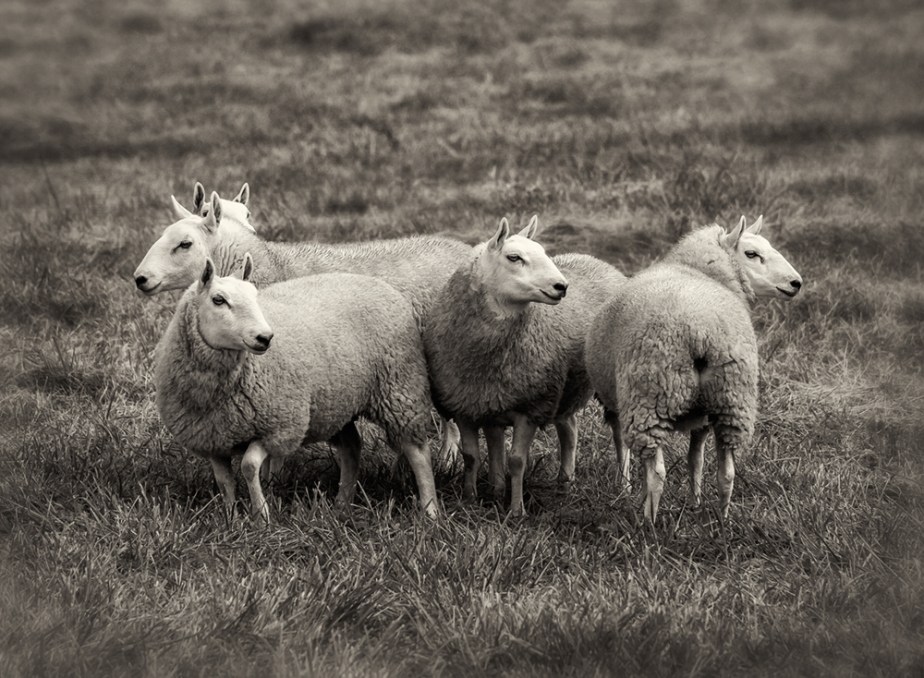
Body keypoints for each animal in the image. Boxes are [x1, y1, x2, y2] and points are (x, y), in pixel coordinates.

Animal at [154, 255, 439, 522]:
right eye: (218, 300)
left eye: (255, 296)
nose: (265, 337)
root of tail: (377, 282)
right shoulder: (212, 439)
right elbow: (225, 482)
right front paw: (231, 518)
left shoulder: (279, 427)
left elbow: (248, 466)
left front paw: (261, 515)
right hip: (335, 404)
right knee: (351, 447)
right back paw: (342, 504)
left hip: (400, 389)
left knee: (418, 452)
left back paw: (430, 510)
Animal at [423, 216, 627, 516]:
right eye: (514, 257)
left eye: (544, 252)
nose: (561, 286)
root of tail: (598, 261)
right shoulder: (468, 403)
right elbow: (471, 455)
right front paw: (471, 499)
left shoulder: (530, 406)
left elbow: (517, 461)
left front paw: (516, 510)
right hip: (564, 389)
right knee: (569, 428)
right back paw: (564, 485)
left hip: (611, 381)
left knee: (620, 433)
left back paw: (624, 486)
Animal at [585, 216, 803, 522]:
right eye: (751, 253)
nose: (796, 283)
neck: (697, 269)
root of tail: (700, 331)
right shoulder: (701, 416)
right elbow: (695, 459)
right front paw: (695, 503)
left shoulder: (616, 402)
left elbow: (624, 450)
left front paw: (627, 492)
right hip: (731, 401)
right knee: (727, 473)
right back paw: (722, 522)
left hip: (649, 396)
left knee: (657, 473)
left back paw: (648, 524)